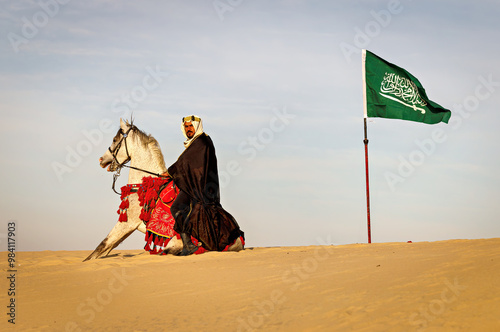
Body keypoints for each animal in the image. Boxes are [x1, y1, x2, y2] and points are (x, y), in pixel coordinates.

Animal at [83, 119, 242, 262]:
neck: (145, 184)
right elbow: (106, 250)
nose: (101, 160)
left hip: (173, 243)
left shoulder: (127, 223)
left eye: (115, 139)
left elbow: (101, 246)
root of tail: (237, 241)